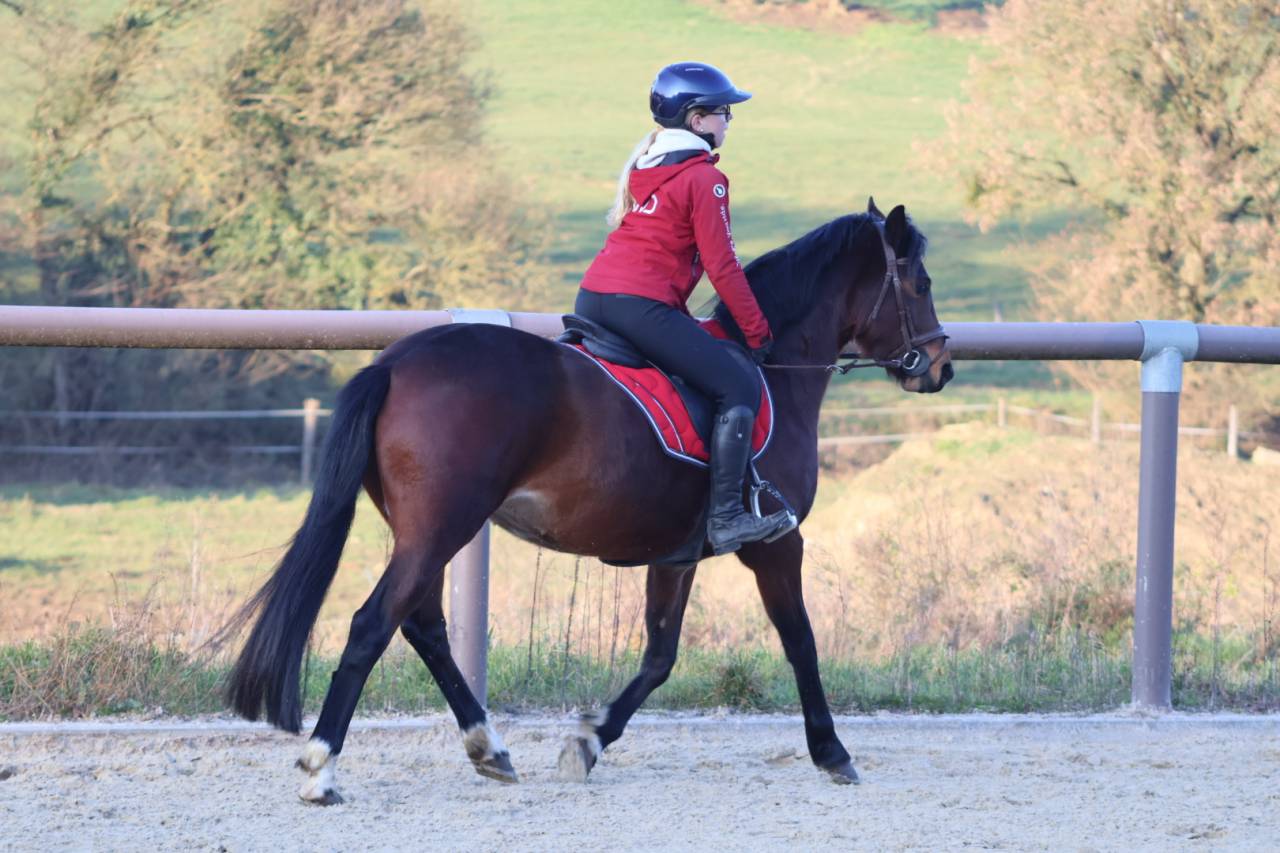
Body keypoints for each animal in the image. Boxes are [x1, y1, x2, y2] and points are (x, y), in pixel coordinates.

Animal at [224, 198, 952, 804]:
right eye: (920, 284)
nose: (941, 367)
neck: (773, 367)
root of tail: (394, 363)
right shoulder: (777, 542)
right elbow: (800, 639)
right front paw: (832, 751)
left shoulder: (675, 554)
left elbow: (659, 656)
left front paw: (589, 741)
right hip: (441, 527)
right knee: (373, 624)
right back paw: (322, 768)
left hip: (427, 531)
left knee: (423, 625)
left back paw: (489, 747)